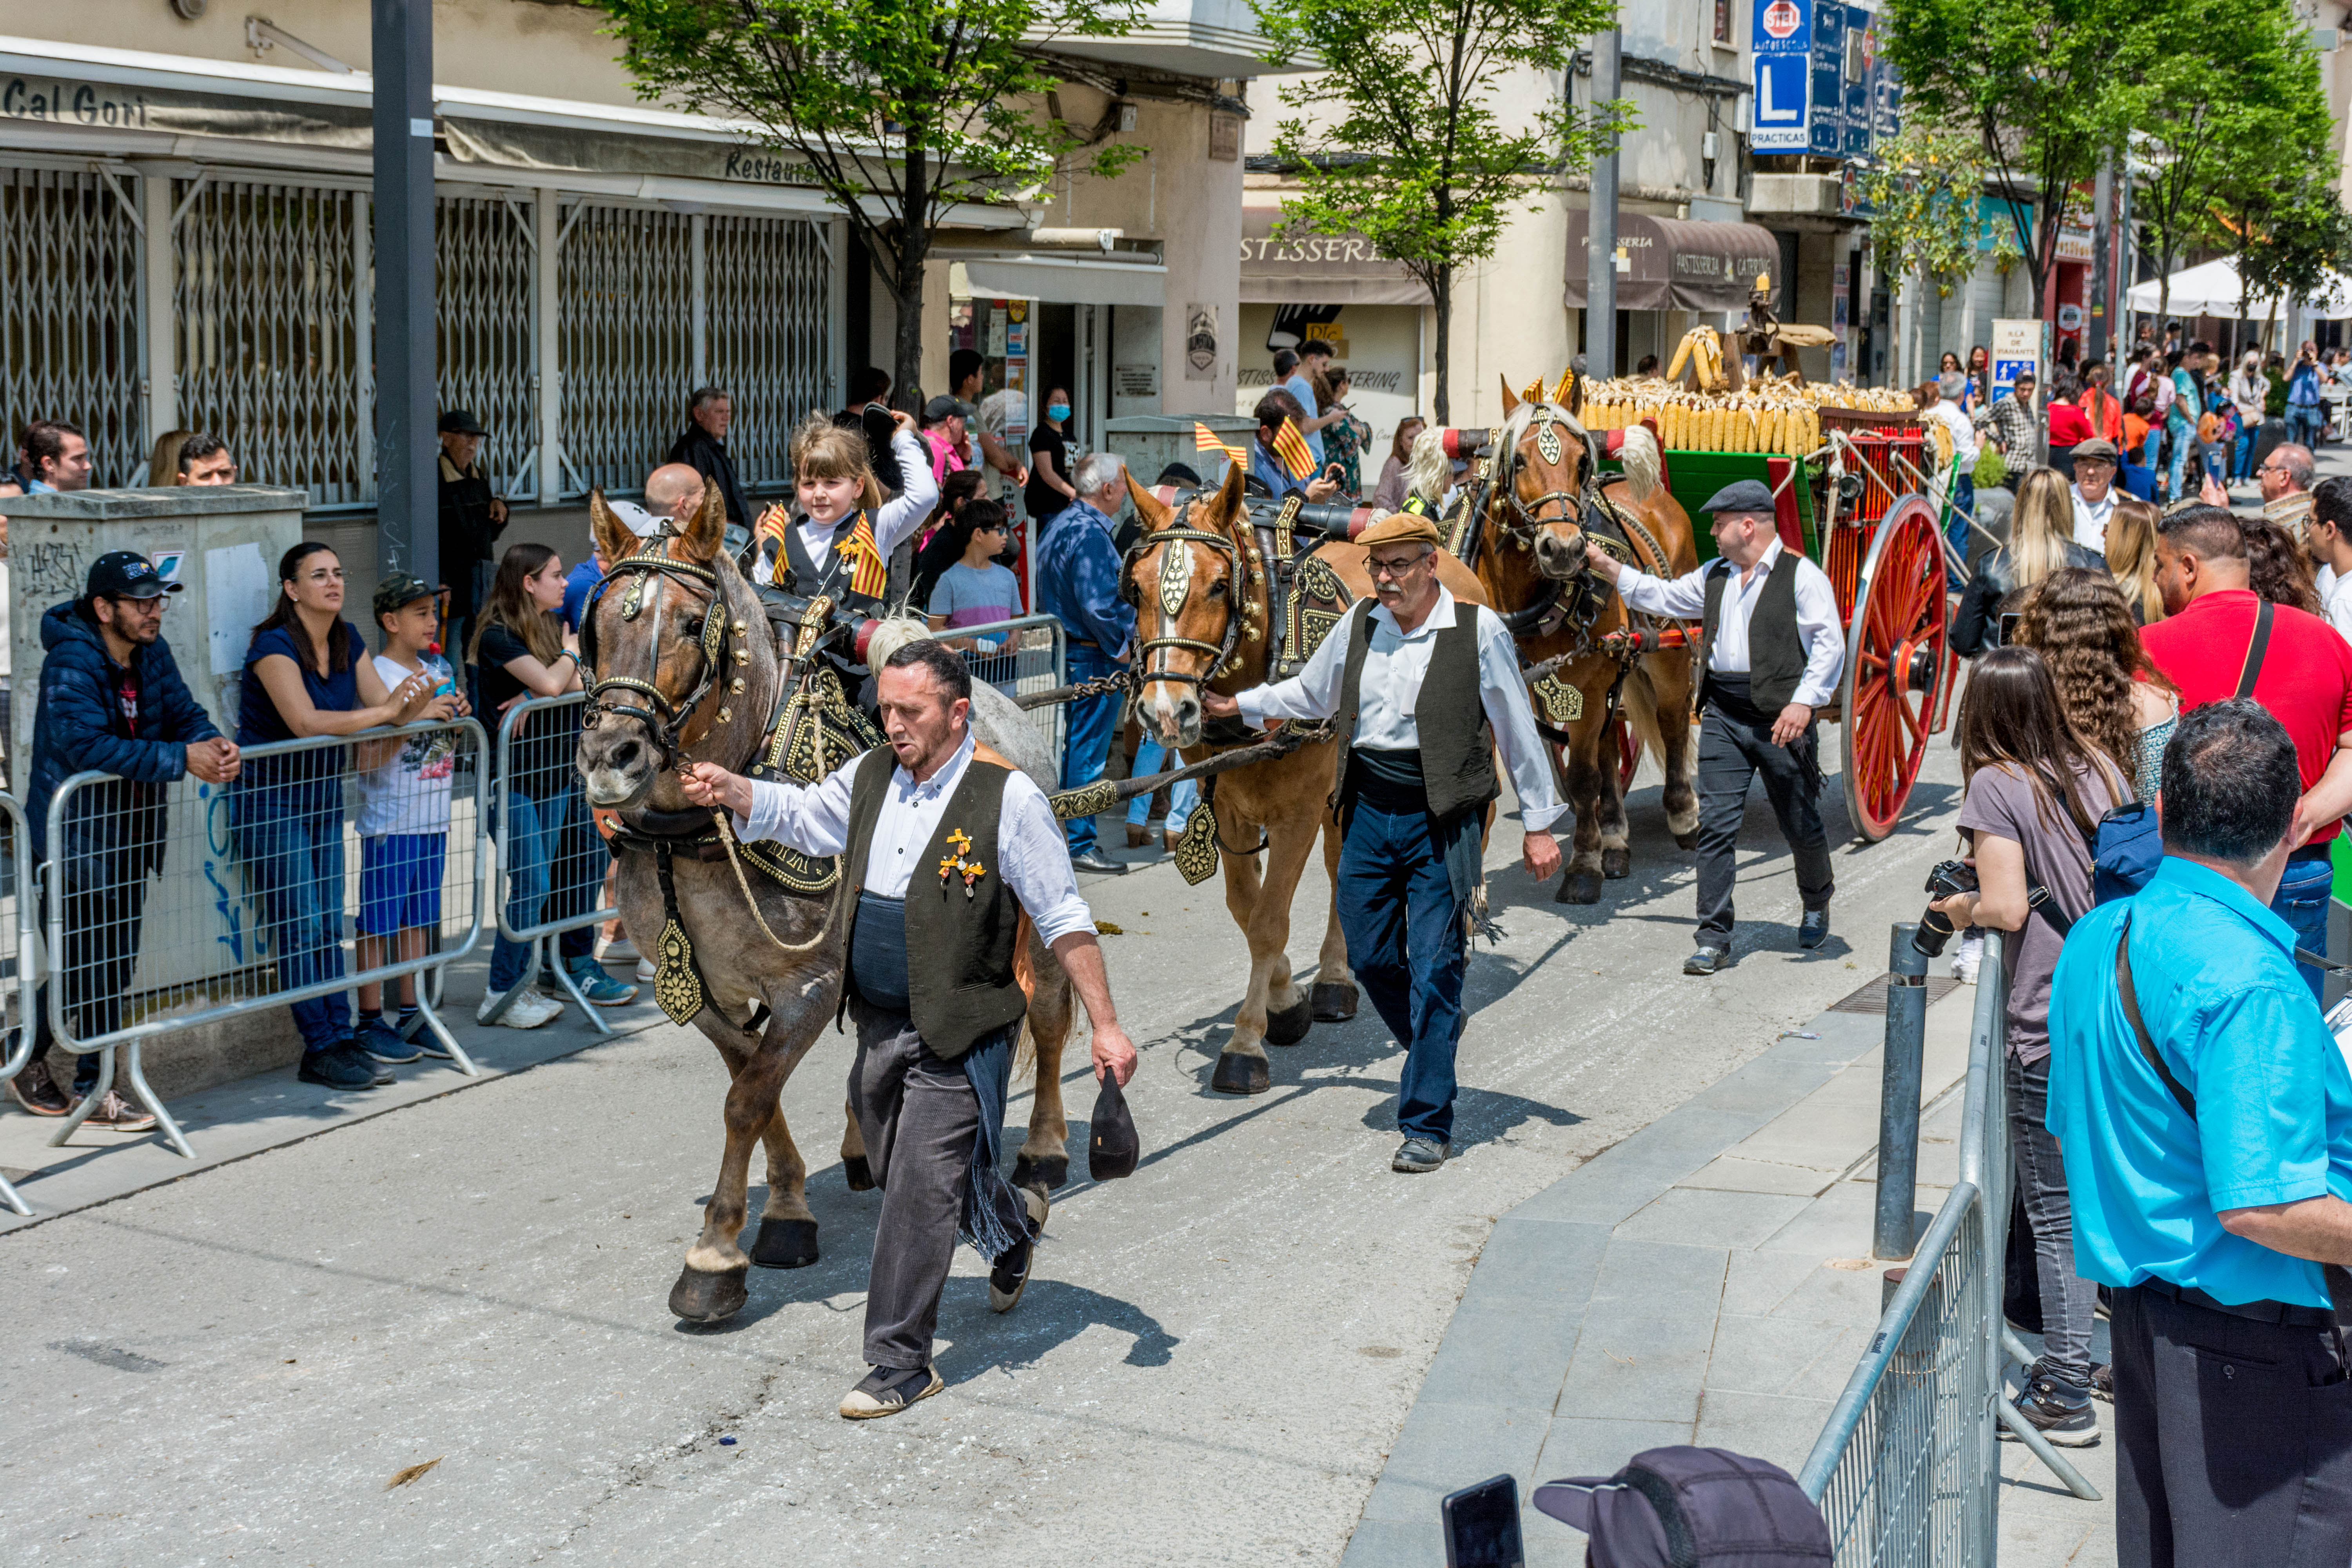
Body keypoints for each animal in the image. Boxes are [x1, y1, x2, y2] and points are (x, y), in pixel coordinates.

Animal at [1458, 374, 1703, 902]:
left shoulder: (1585, 689)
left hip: (1667, 654)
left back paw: (1683, 815)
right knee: (1613, 744)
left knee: (1673, 720)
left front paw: (1583, 865)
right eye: (1518, 460)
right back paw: (1616, 837)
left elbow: (1583, 776)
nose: (1565, 549)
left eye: (1581, 462)